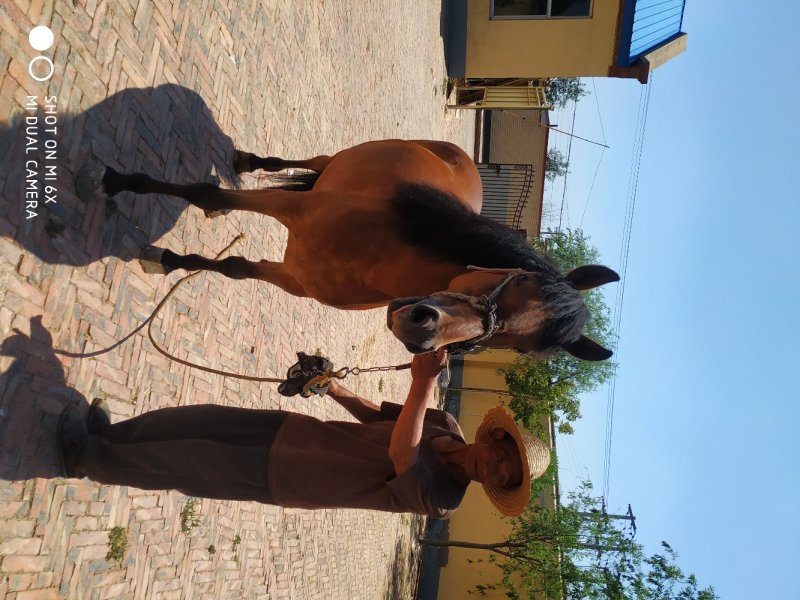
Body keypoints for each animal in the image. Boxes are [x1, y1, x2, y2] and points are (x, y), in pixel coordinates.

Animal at [76, 140, 619, 360]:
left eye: (518, 348)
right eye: (517, 277)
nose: (423, 329)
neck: (373, 251)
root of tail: (465, 158)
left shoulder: (292, 278)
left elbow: (231, 268)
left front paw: (167, 260)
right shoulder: (287, 207)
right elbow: (205, 192)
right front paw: (117, 181)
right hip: (336, 157)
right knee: (304, 161)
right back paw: (247, 160)